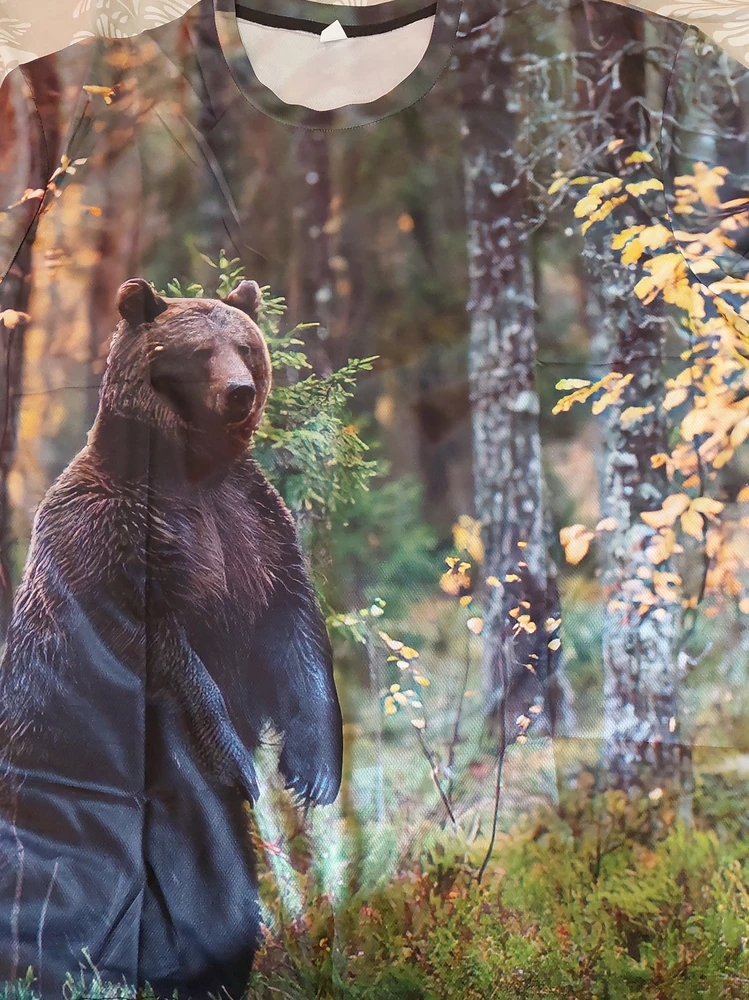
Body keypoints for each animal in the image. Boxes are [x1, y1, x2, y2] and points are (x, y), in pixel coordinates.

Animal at [0, 278, 344, 996]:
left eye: (244, 345)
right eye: (197, 351)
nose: (238, 390)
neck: (192, 474)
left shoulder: (254, 530)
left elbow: (293, 631)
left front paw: (313, 769)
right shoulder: (117, 548)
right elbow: (173, 661)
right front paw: (242, 761)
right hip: (67, 783)